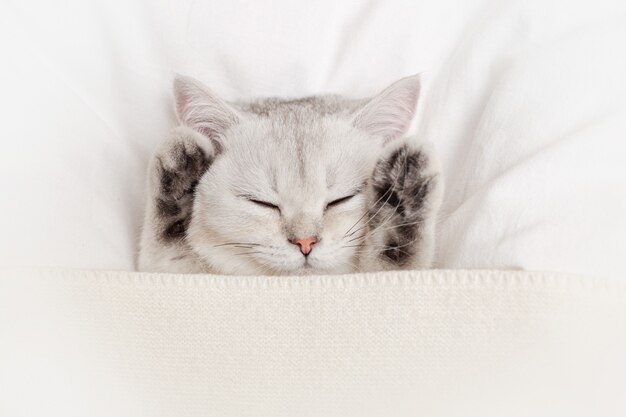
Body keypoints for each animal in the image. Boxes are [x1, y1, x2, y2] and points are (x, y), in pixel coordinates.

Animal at [138, 75, 438, 274]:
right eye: (262, 203)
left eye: (341, 199)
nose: (305, 243)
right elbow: (163, 252)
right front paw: (178, 171)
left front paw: (402, 194)